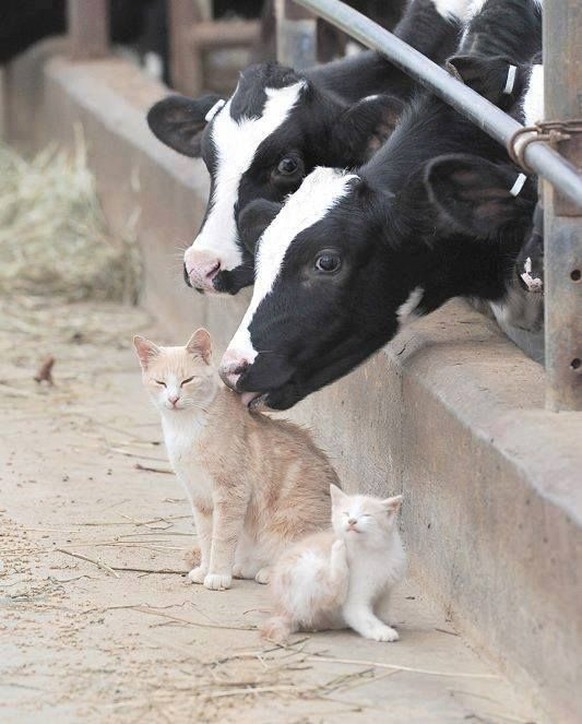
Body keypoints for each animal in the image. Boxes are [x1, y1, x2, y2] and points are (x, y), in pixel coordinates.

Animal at [134, 328, 340, 588]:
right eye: (160, 383)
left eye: (187, 381)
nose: (173, 399)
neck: (185, 426)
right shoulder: (199, 495)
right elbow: (206, 537)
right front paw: (205, 569)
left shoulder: (231, 491)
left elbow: (222, 537)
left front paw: (217, 575)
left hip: (290, 523)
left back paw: (268, 572)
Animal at [264, 484, 406, 640]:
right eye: (346, 513)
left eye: (366, 515)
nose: (352, 521)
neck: (374, 550)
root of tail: (282, 610)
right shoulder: (355, 599)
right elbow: (362, 617)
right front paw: (382, 631)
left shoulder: (386, 588)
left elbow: (383, 605)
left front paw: (386, 618)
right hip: (308, 566)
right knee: (332, 594)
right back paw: (338, 549)